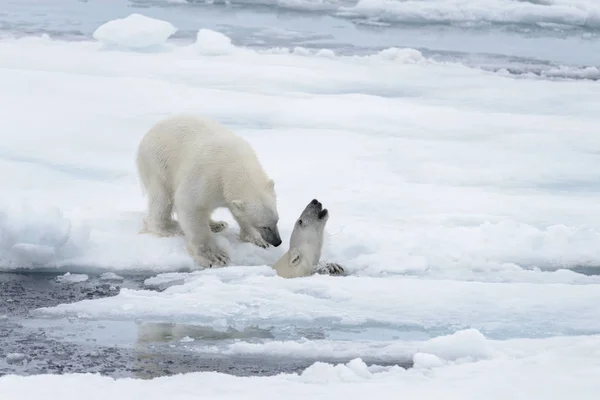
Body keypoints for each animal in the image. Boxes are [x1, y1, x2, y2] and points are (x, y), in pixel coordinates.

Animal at [137, 114, 282, 268]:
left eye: (276, 220)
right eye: (263, 226)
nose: (277, 242)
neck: (233, 164)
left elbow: (237, 212)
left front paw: (258, 240)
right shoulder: (206, 177)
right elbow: (190, 205)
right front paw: (214, 256)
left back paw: (217, 224)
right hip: (158, 163)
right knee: (162, 198)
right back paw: (169, 228)